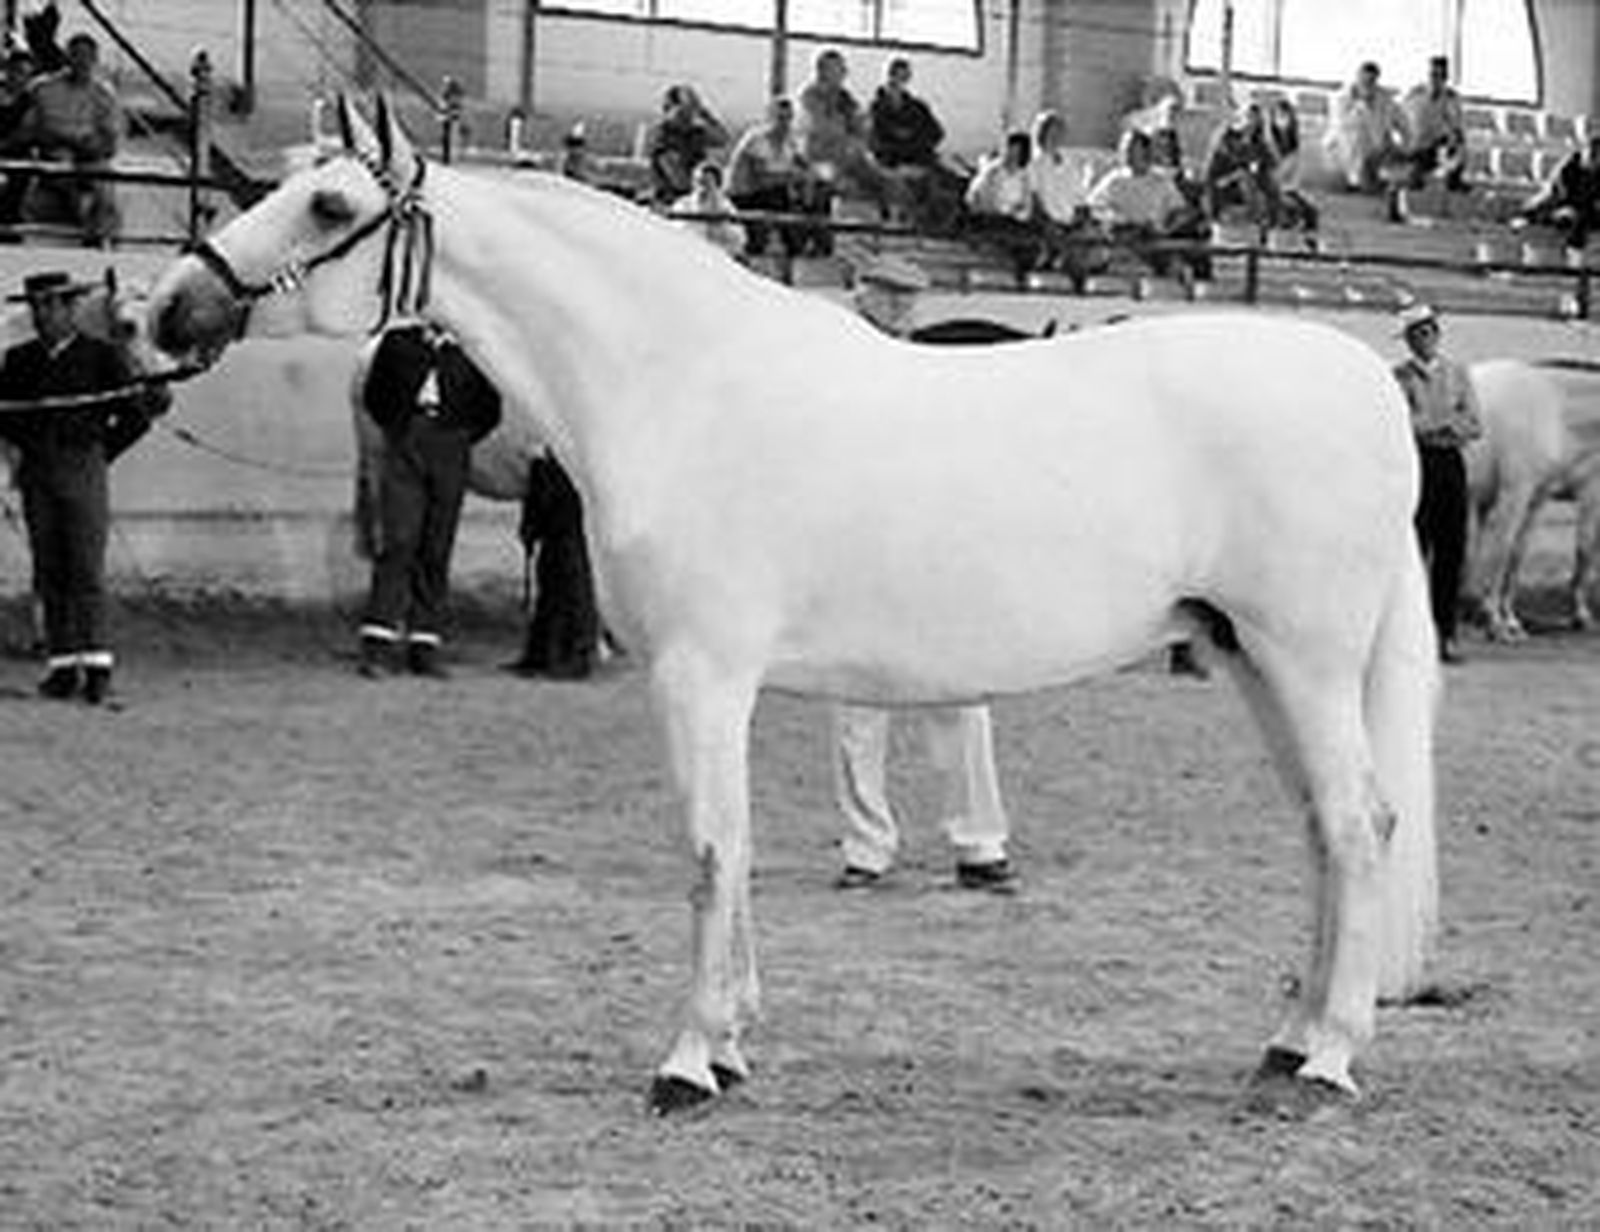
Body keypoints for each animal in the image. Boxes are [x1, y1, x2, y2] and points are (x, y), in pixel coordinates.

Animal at [145, 95, 1439, 1117]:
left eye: (326, 205)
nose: (167, 310)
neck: (680, 386)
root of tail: (1365, 380)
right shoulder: (723, 682)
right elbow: (736, 845)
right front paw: (729, 1044)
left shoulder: (699, 674)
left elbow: (711, 847)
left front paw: (685, 1062)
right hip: (1248, 658)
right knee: (1323, 829)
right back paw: (1286, 1042)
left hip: (1303, 659)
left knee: (1358, 821)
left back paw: (1328, 1061)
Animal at [1466, 359, 1600, 638]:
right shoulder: (1518, 493)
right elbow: (1503, 549)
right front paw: (1495, 621)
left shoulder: (1537, 498)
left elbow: (1518, 552)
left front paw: (1509, 619)